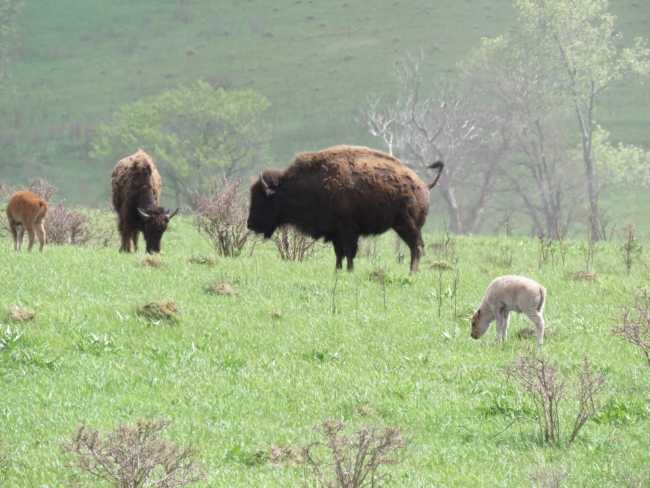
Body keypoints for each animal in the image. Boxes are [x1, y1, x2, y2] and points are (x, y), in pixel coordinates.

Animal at [247, 145, 443, 272]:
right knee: (416, 247)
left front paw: (349, 270)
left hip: (407, 226)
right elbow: (339, 253)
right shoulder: (335, 232)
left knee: (416, 247)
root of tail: (423, 185)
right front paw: (338, 270)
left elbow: (349, 252)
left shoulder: (348, 230)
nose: (250, 224)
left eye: (262, 200)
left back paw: (412, 272)